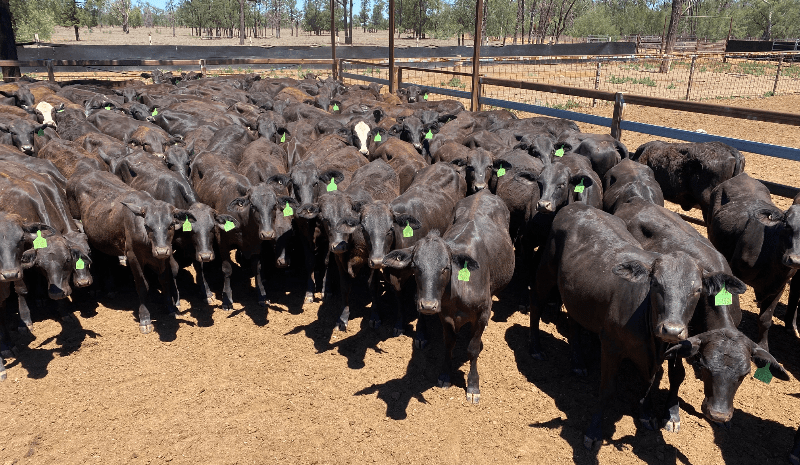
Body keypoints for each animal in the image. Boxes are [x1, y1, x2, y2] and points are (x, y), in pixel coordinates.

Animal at [383, 190, 514, 403]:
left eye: (446, 267)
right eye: (416, 266)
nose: (428, 306)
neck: (456, 295)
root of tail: (483, 191)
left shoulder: (482, 313)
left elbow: (472, 349)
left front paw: (473, 385)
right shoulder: (444, 316)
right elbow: (448, 344)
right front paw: (445, 375)